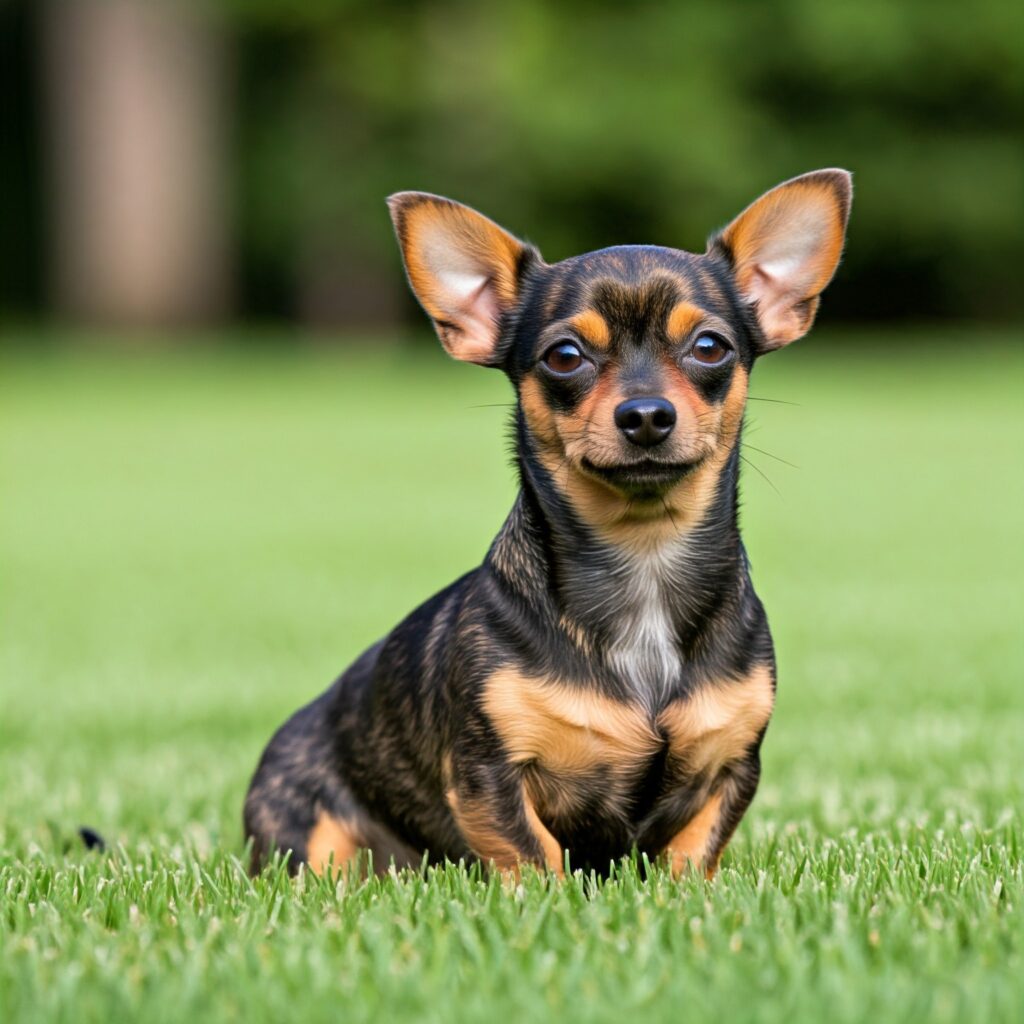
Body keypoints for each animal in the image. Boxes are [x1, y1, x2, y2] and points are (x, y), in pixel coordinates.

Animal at [243, 169, 851, 880]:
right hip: (305, 831)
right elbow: (533, 855)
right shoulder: (486, 775)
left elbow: (692, 854)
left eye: (710, 347)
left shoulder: (731, 768)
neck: (643, 556)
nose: (646, 415)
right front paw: (547, 900)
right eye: (564, 356)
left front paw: (684, 893)